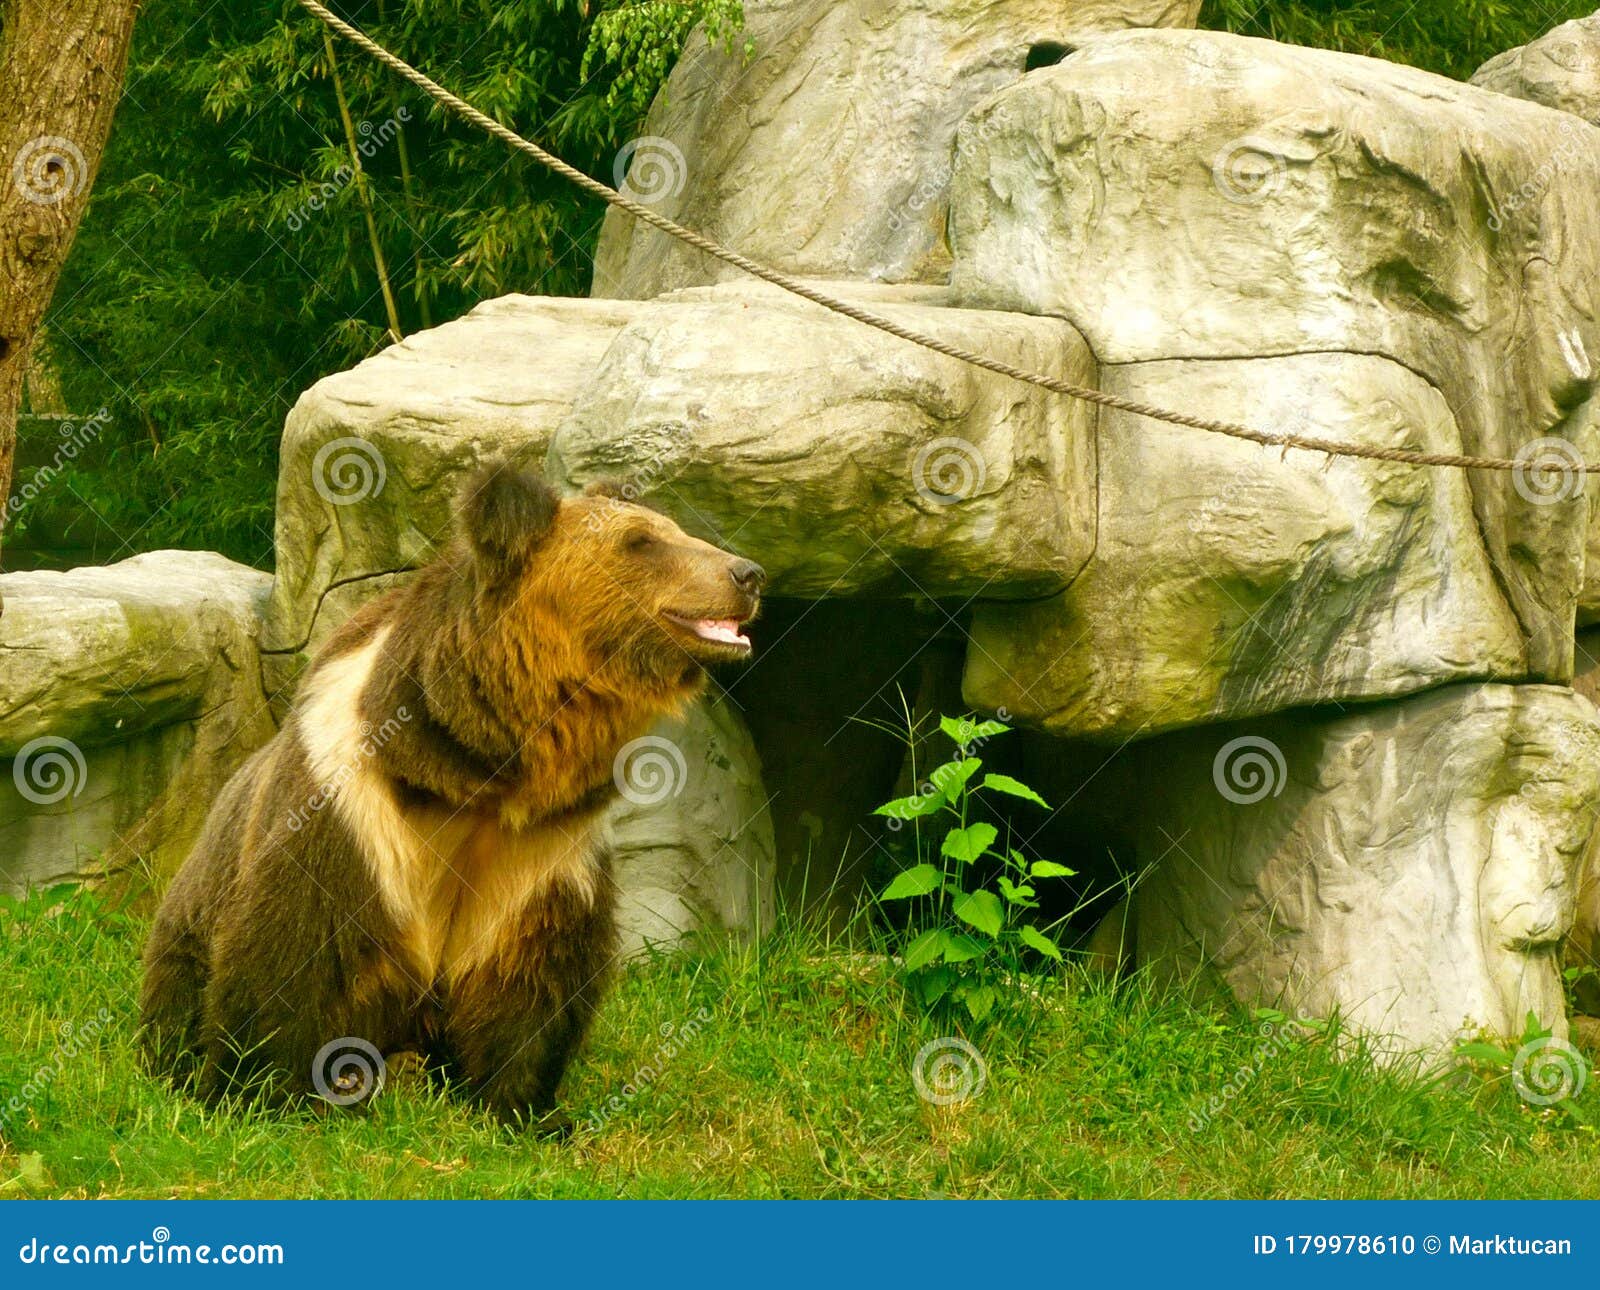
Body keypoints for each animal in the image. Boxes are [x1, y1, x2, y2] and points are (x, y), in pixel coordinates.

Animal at [137, 464, 761, 1133]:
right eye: (643, 543)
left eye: (676, 530)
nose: (747, 573)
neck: (471, 770)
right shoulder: (353, 812)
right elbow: (289, 949)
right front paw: (260, 1094)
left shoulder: (539, 846)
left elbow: (530, 977)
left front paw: (528, 1111)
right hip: (186, 932)